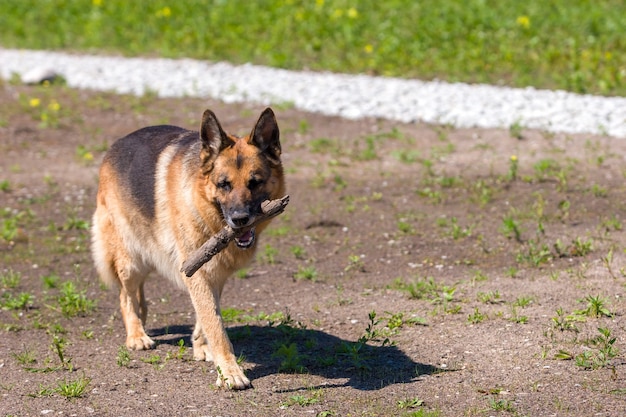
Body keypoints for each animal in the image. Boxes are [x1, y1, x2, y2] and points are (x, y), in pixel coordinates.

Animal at [91, 107, 286, 386]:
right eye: (224, 184)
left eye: (255, 182)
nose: (239, 219)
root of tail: (116, 145)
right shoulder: (198, 272)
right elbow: (215, 324)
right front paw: (230, 371)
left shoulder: (213, 274)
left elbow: (207, 313)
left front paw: (202, 346)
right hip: (131, 261)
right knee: (124, 295)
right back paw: (136, 334)